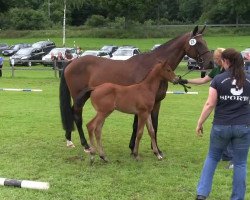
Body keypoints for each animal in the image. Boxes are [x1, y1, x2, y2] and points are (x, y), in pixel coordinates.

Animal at [60, 25, 213, 155]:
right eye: (198, 43)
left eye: (205, 41)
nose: (210, 62)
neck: (152, 68)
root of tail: (71, 62)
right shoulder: (139, 104)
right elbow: (136, 125)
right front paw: (133, 148)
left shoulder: (156, 102)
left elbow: (154, 125)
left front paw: (156, 149)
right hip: (79, 98)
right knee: (77, 116)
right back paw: (85, 145)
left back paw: (69, 139)